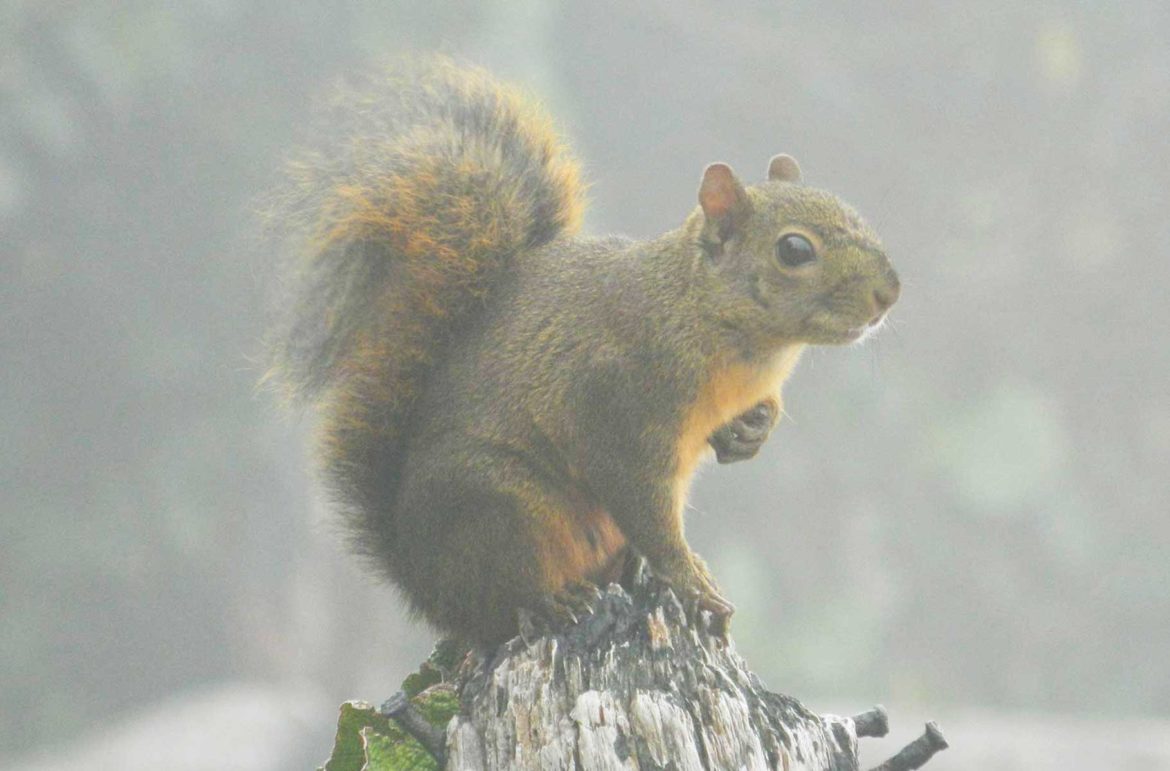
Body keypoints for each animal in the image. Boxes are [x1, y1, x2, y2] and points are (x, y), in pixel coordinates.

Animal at [267, 55, 903, 645]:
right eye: (794, 250)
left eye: (853, 211)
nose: (890, 293)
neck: (714, 322)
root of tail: (421, 582)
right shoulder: (621, 408)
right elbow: (646, 508)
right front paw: (694, 582)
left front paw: (753, 430)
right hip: (501, 509)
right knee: (501, 601)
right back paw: (550, 602)